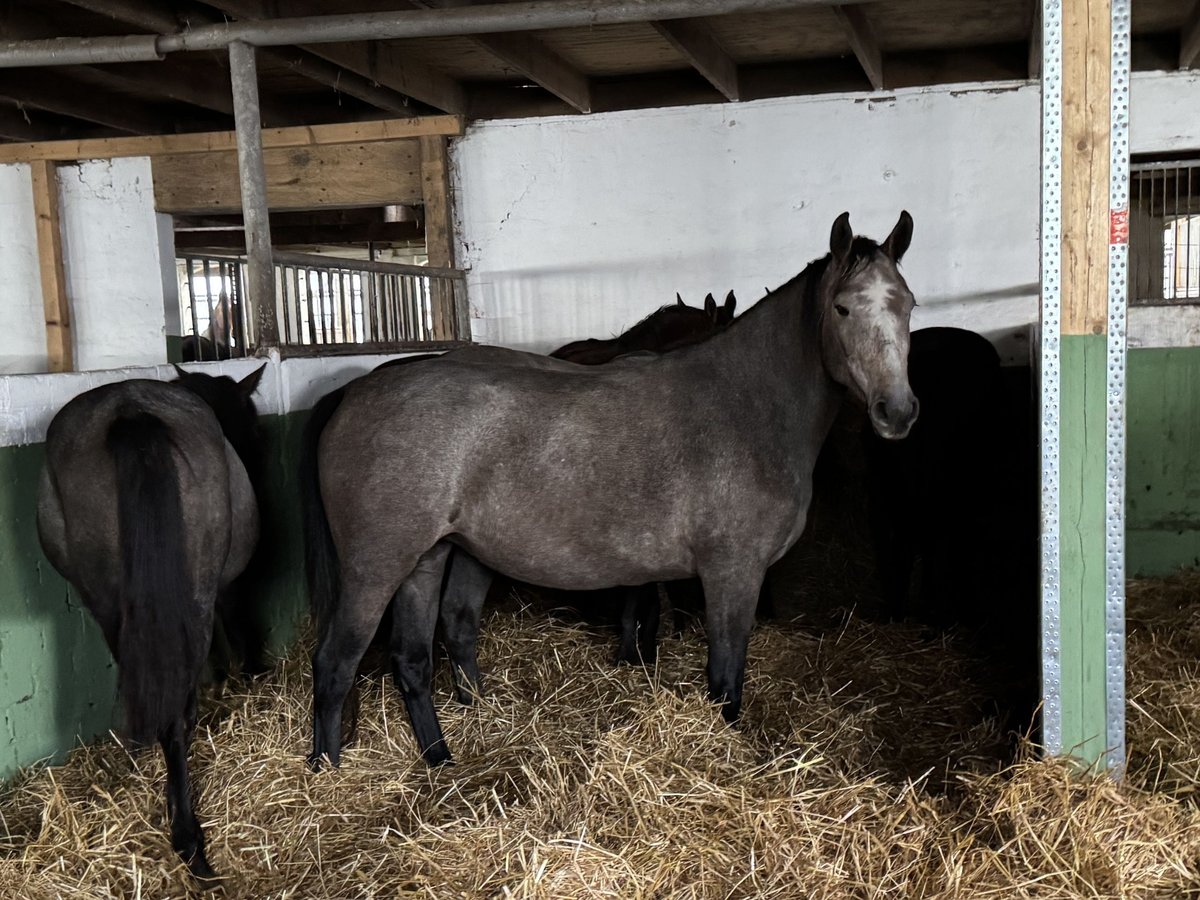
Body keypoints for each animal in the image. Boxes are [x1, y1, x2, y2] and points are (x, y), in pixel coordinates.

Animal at [36, 364, 265, 883]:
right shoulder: (223, 592)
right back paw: (189, 838)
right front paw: (236, 680)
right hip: (193, 599)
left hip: (106, 604)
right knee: (176, 702)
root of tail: (130, 411)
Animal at [304, 211, 912, 768]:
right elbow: (725, 681)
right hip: (376, 567)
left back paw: (440, 760)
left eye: (907, 305)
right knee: (335, 662)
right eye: (842, 308)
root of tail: (355, 394)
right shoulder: (732, 574)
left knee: (412, 659)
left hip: (426, 560)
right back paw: (327, 769)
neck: (745, 407)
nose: (898, 411)